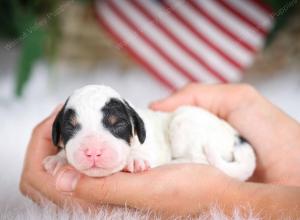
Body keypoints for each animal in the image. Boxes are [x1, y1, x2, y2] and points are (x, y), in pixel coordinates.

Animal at [44, 84, 255, 180]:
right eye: (70, 127)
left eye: (117, 124)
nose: (93, 151)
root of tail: (238, 138)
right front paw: (58, 159)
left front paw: (135, 159)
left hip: (183, 122)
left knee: (200, 159)